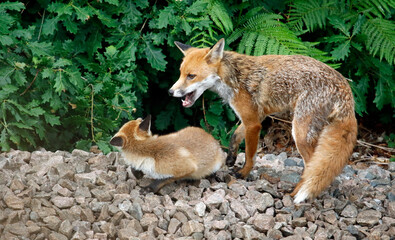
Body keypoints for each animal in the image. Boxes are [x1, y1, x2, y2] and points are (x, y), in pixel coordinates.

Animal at [169, 38, 358, 202]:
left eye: (191, 76)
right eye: (180, 74)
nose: (170, 92)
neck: (234, 77)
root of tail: (346, 89)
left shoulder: (254, 124)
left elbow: (250, 155)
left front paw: (243, 173)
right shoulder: (255, 116)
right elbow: (235, 135)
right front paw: (230, 158)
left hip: (300, 133)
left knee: (311, 168)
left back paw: (294, 194)